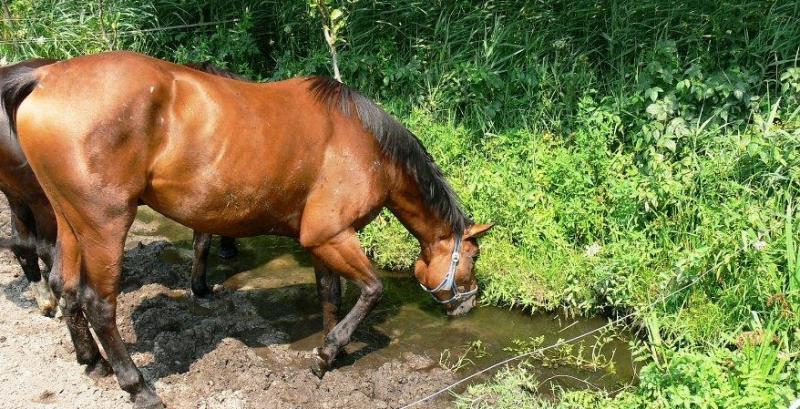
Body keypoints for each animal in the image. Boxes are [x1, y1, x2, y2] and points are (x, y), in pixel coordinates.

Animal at [0, 59, 241, 312]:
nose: (230, 250)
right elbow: (202, 243)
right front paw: (201, 288)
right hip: (42, 203)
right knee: (46, 250)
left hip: (20, 199)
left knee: (24, 247)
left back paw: (47, 300)